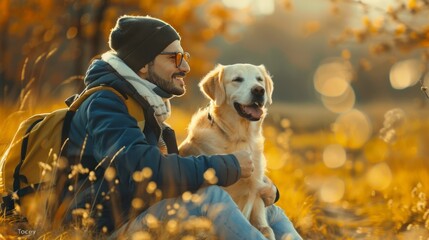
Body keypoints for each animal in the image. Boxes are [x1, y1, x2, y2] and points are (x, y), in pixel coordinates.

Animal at [178, 62, 274, 239]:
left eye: (259, 79)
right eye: (237, 79)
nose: (259, 90)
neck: (238, 138)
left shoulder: (254, 190)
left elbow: (259, 224)